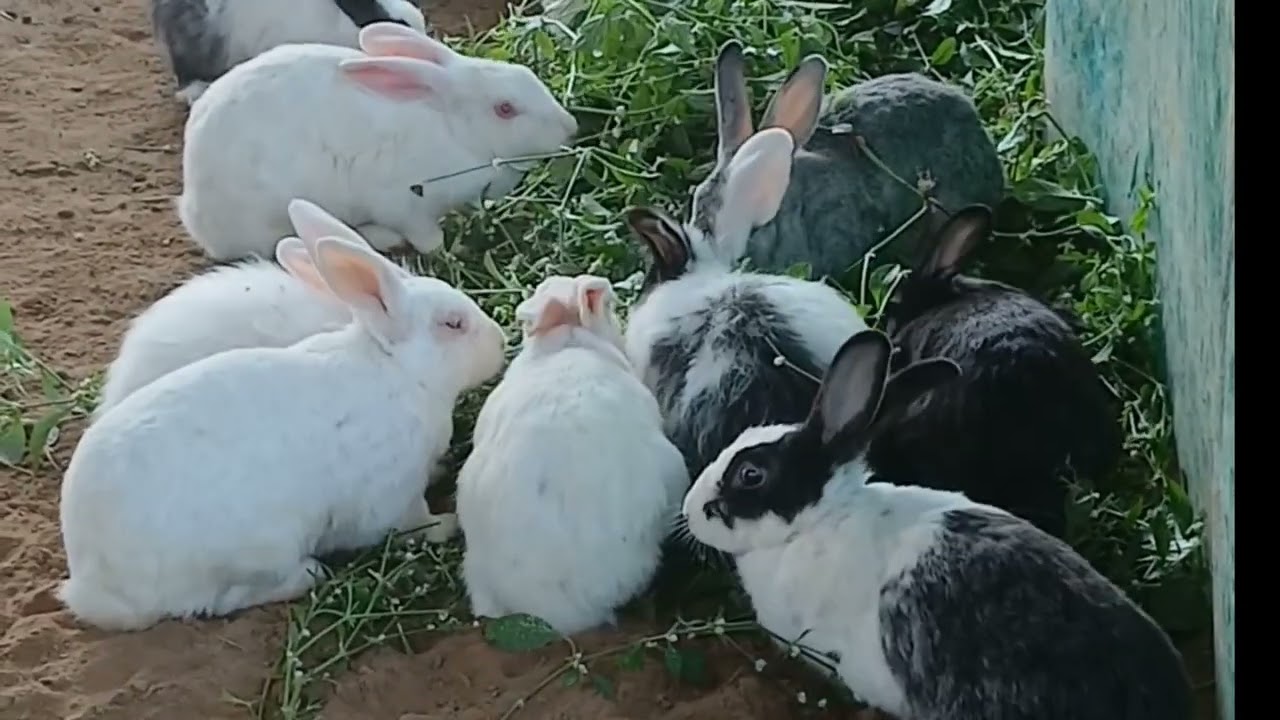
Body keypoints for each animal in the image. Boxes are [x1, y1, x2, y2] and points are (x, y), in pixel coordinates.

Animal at [58, 228, 507, 631]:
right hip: (263, 548)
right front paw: (447, 526)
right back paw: (309, 574)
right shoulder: (393, 497)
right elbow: (416, 523)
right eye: (452, 324)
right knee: (224, 600)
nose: (501, 342)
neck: (398, 371)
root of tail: (93, 584)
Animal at [178, 21, 579, 262]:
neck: (452, 128)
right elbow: (427, 236)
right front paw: (449, 250)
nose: (570, 126)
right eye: (505, 109)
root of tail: (194, 212)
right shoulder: (404, 204)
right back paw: (382, 238)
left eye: (527, 74)